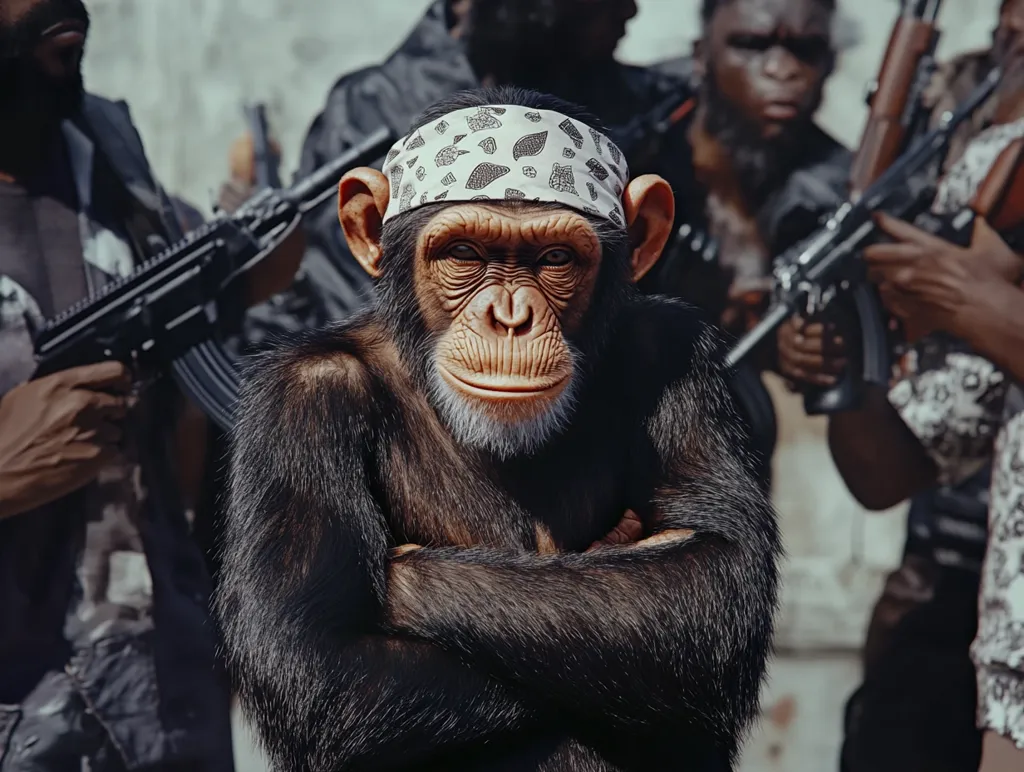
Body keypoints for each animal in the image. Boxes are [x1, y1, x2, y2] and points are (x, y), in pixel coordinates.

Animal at [215, 87, 782, 772]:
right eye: (464, 254)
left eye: (555, 259)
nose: (510, 317)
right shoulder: (298, 400)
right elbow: (314, 652)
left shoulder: (675, 350)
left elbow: (713, 566)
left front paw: (411, 580)